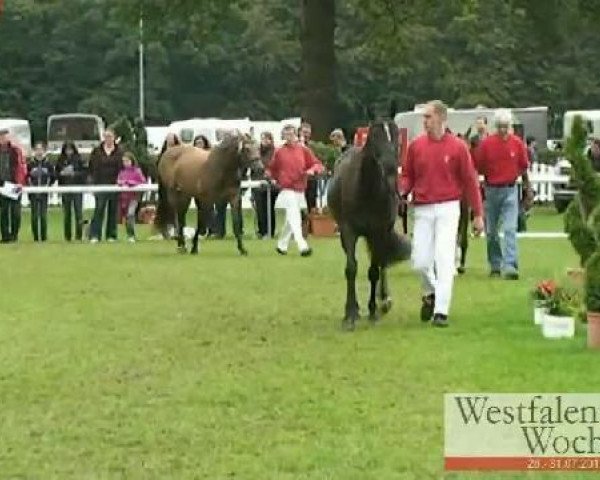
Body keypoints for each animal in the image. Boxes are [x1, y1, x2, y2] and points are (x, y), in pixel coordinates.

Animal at [328, 104, 412, 330]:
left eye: (396, 133)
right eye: (374, 134)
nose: (390, 168)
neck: (366, 190)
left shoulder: (379, 231)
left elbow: (374, 271)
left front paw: (373, 311)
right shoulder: (348, 231)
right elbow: (351, 269)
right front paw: (350, 314)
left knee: (382, 263)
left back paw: (384, 301)